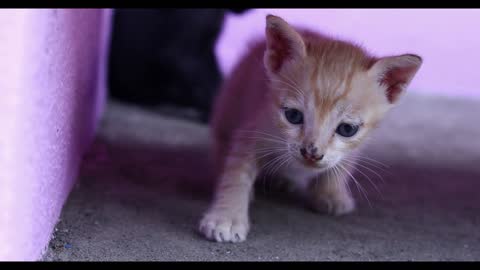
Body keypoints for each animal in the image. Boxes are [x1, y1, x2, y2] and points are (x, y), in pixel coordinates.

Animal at [199, 14, 420, 243]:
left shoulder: (357, 144)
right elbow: (236, 174)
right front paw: (226, 218)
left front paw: (331, 193)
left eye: (347, 129)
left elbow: (343, 164)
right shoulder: (251, 130)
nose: (311, 153)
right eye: (293, 116)